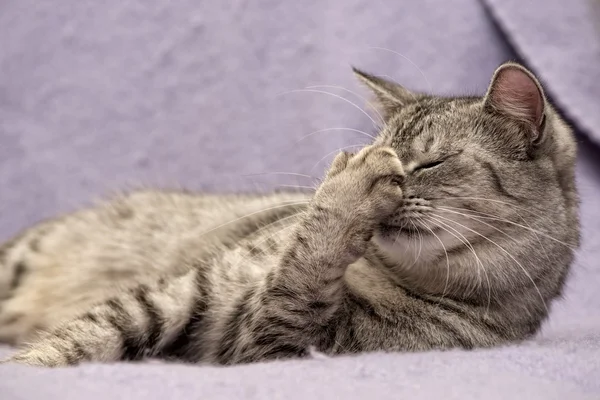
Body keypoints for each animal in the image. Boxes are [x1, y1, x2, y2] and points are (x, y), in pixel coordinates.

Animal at [0, 61, 580, 368]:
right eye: (388, 148)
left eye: (431, 162)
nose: (384, 163)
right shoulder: (194, 286)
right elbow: (94, 328)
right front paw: (32, 364)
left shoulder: (276, 339)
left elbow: (300, 273)